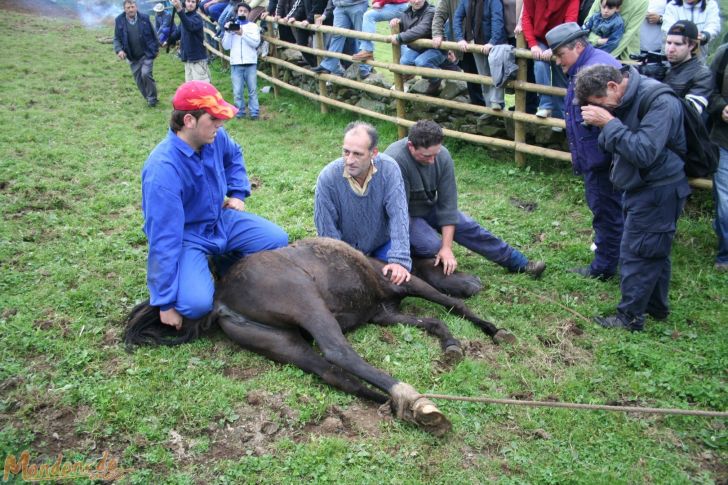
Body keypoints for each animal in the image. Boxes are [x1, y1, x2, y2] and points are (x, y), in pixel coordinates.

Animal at [123, 237, 512, 434]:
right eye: (445, 264)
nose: (474, 282)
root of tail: (220, 299)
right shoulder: (402, 288)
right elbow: (450, 305)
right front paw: (494, 331)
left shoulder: (384, 314)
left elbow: (432, 321)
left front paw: (451, 345)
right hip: (306, 301)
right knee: (338, 351)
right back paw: (413, 400)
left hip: (284, 343)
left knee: (335, 374)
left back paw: (404, 409)